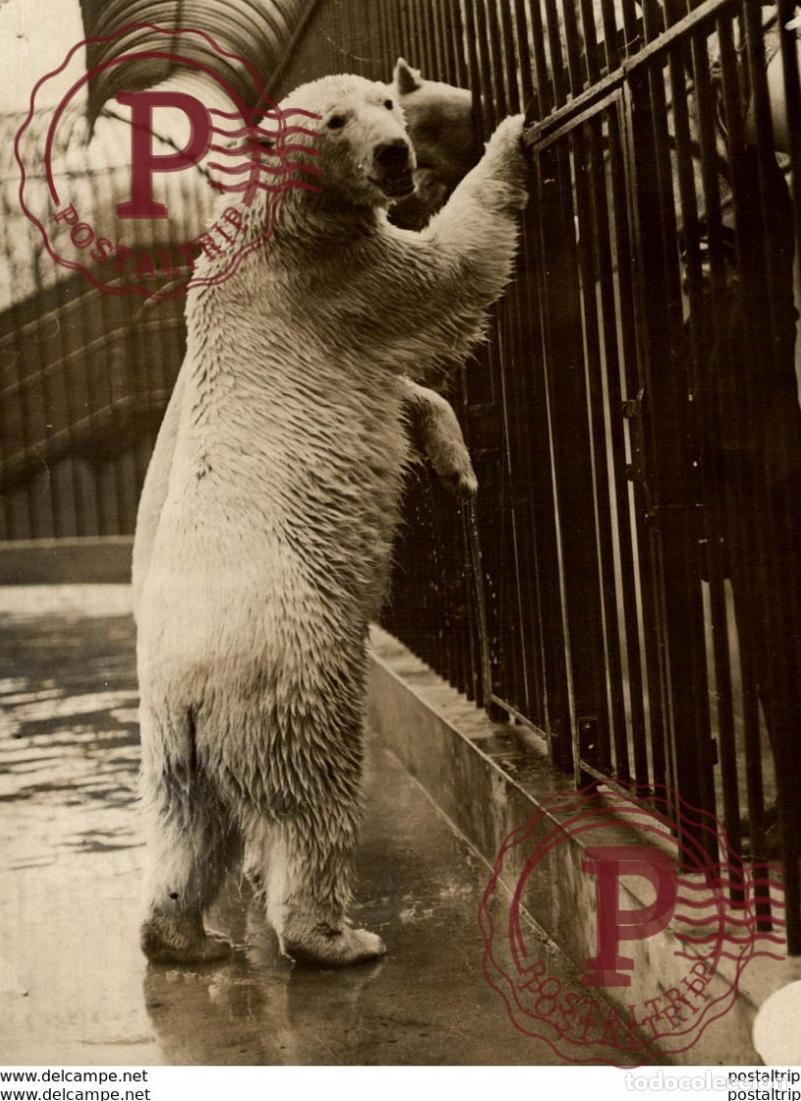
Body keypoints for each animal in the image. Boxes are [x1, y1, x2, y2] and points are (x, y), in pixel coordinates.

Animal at [133, 71, 528, 968]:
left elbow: (405, 387)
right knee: (310, 796)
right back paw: (337, 936)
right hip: (288, 674)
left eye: (385, 100)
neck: (275, 221)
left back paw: (183, 936)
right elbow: (448, 274)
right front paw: (512, 139)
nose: (394, 152)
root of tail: (187, 692)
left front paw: (454, 463)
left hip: (174, 748)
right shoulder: (337, 279)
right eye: (337, 121)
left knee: (190, 827)